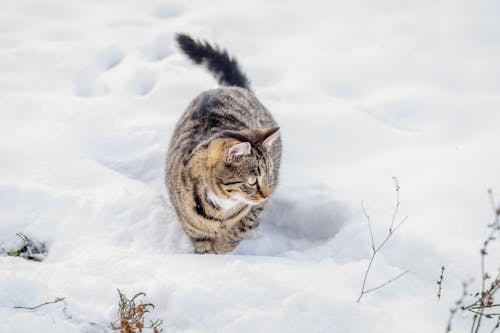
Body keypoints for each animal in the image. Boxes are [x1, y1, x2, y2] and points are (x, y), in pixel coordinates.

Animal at [165, 33, 280, 253]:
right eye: (251, 181)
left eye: (267, 175)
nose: (266, 194)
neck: (221, 205)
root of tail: (233, 88)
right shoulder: (190, 222)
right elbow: (201, 241)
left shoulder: (252, 209)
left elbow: (239, 228)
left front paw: (223, 247)